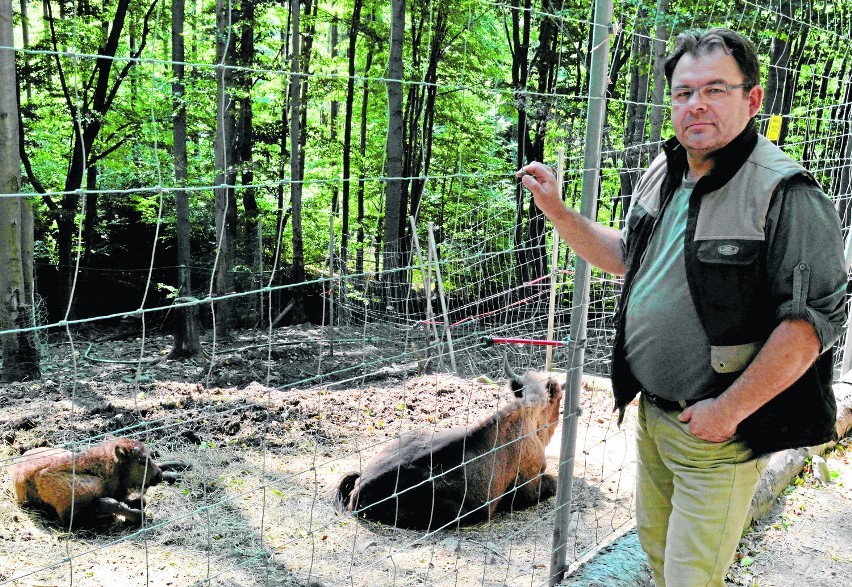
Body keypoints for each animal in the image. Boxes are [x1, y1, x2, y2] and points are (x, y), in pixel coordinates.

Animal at [11, 436, 186, 528]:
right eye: (142, 461)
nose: (157, 476)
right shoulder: (69, 515)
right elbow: (110, 503)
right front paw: (139, 515)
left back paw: (179, 467)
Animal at [332, 372, 564, 532]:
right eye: (559, 402)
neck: (530, 417)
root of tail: (361, 483)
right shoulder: (528, 486)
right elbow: (551, 484)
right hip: (454, 510)